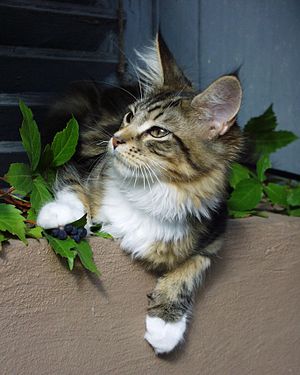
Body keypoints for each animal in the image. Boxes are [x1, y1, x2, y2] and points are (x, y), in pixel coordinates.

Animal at [37, 33, 244, 354]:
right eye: (129, 116)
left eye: (158, 132)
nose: (114, 139)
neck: (152, 191)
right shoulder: (76, 163)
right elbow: (75, 191)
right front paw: (60, 215)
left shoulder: (215, 232)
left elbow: (191, 268)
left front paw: (166, 325)